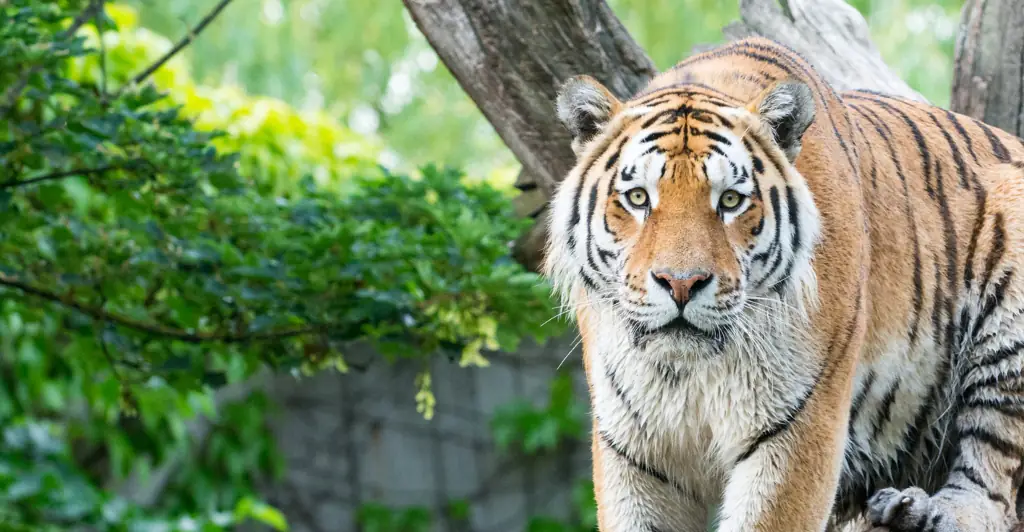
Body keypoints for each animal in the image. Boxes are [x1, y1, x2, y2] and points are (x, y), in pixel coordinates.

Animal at [543, 36, 1024, 532]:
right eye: (638, 198)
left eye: (730, 201)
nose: (681, 284)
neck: (690, 372)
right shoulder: (633, 447)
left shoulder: (798, 428)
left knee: (994, 488)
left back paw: (922, 510)